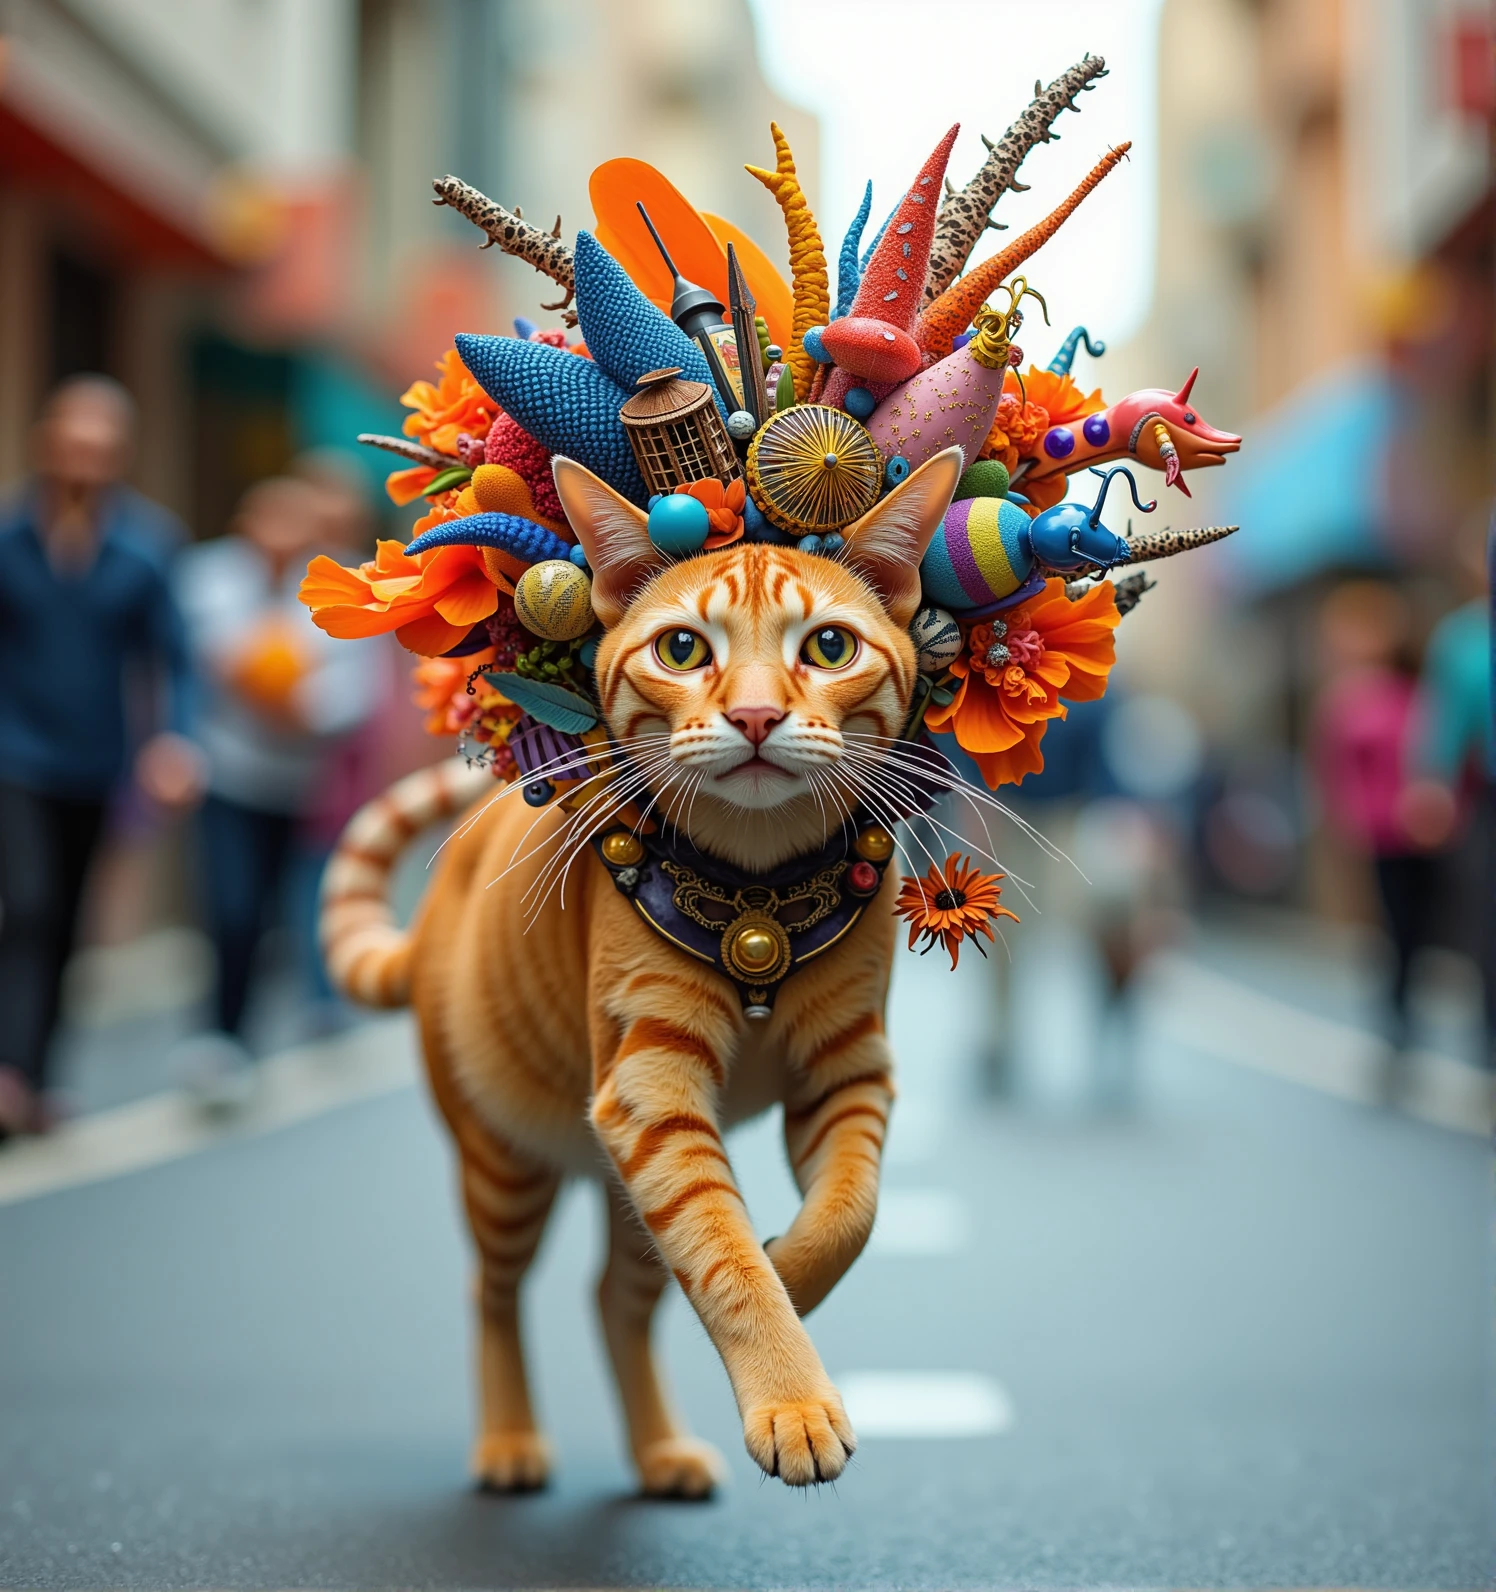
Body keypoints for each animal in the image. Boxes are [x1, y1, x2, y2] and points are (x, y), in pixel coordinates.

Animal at [321, 445, 961, 1490]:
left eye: (829, 648)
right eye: (684, 651)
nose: (755, 715)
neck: (758, 907)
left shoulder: (849, 1074)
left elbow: (846, 1217)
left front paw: (791, 1271)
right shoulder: (650, 1091)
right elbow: (728, 1259)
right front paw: (793, 1398)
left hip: (616, 1192)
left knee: (612, 1297)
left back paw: (661, 1452)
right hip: (503, 1165)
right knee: (493, 1290)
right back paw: (508, 1442)